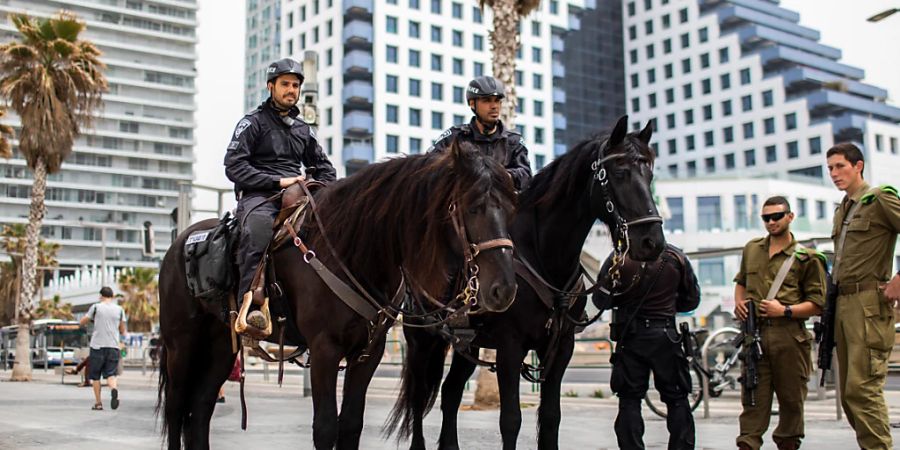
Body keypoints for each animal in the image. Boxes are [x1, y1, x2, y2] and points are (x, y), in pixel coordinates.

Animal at [158, 142, 516, 450]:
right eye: (473, 207)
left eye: (510, 208)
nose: (505, 289)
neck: (351, 252)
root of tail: (179, 244)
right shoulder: (324, 350)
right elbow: (326, 427)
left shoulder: (368, 354)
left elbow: (351, 425)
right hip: (181, 343)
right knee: (176, 407)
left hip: (220, 344)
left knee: (201, 406)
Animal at [388, 114, 668, 448]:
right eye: (620, 173)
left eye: (649, 174)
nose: (652, 242)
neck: (543, 256)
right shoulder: (510, 348)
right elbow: (511, 420)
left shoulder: (561, 348)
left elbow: (550, 418)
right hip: (422, 338)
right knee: (418, 396)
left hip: (467, 345)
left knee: (451, 392)